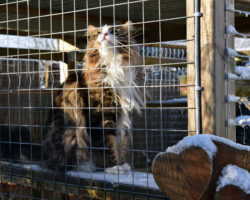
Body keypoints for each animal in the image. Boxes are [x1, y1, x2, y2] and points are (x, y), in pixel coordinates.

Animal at [44, 20, 144, 173]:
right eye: (98, 33)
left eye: (114, 31)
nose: (104, 34)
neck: (113, 66)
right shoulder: (101, 114)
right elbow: (107, 144)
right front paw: (113, 167)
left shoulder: (123, 114)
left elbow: (120, 143)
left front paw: (122, 164)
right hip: (70, 131)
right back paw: (86, 166)